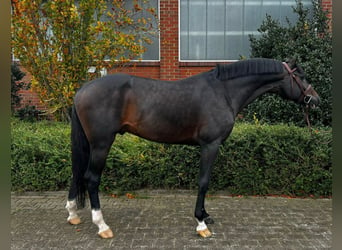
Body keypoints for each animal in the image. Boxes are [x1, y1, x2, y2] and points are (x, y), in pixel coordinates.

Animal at [65, 57, 320, 238]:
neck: (224, 92)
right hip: (101, 144)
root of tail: (81, 91)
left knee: (77, 173)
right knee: (91, 178)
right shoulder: (210, 145)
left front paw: (206, 216)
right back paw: (102, 226)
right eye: (302, 76)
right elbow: (204, 182)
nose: (315, 100)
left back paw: (73, 214)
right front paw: (201, 223)